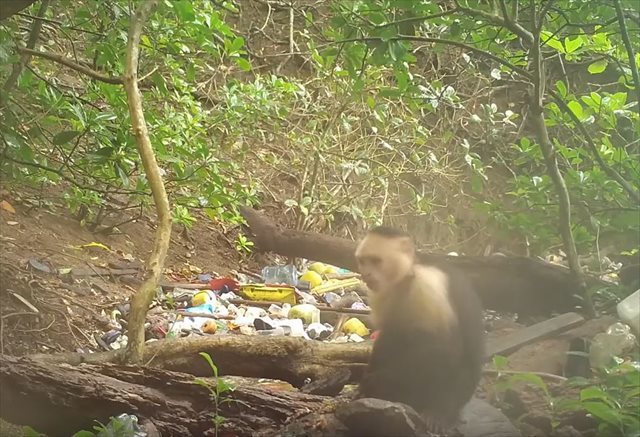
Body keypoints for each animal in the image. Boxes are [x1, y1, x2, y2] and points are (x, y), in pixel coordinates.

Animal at [352, 227, 482, 430]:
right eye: (362, 260)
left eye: (376, 260)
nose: (366, 274)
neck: (407, 275)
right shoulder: (381, 292)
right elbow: (387, 334)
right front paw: (364, 386)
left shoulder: (427, 284)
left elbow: (443, 349)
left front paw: (374, 383)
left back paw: (439, 411)